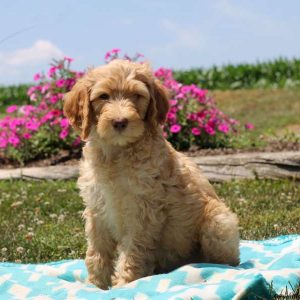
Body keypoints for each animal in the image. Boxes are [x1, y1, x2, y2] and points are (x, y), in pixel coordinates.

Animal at [63, 58, 239, 288]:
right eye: (103, 96)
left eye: (137, 95)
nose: (120, 122)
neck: (117, 153)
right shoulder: (97, 209)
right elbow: (96, 252)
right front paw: (96, 286)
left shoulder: (143, 210)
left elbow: (133, 251)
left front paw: (123, 284)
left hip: (217, 222)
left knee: (226, 261)